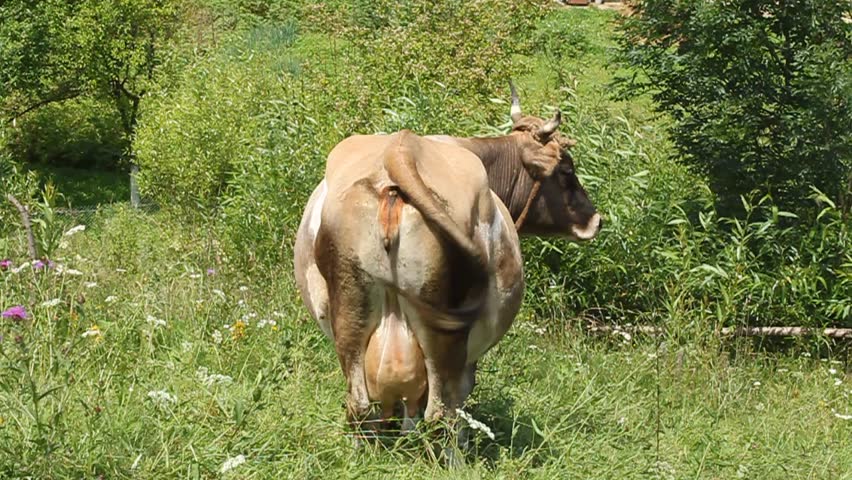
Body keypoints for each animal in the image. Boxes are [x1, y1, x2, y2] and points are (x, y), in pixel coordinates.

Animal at [292, 85, 600, 438]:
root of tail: (400, 152)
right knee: (441, 412)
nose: (596, 220)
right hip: (444, 339)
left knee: (359, 404)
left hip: (351, 311)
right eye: (567, 170)